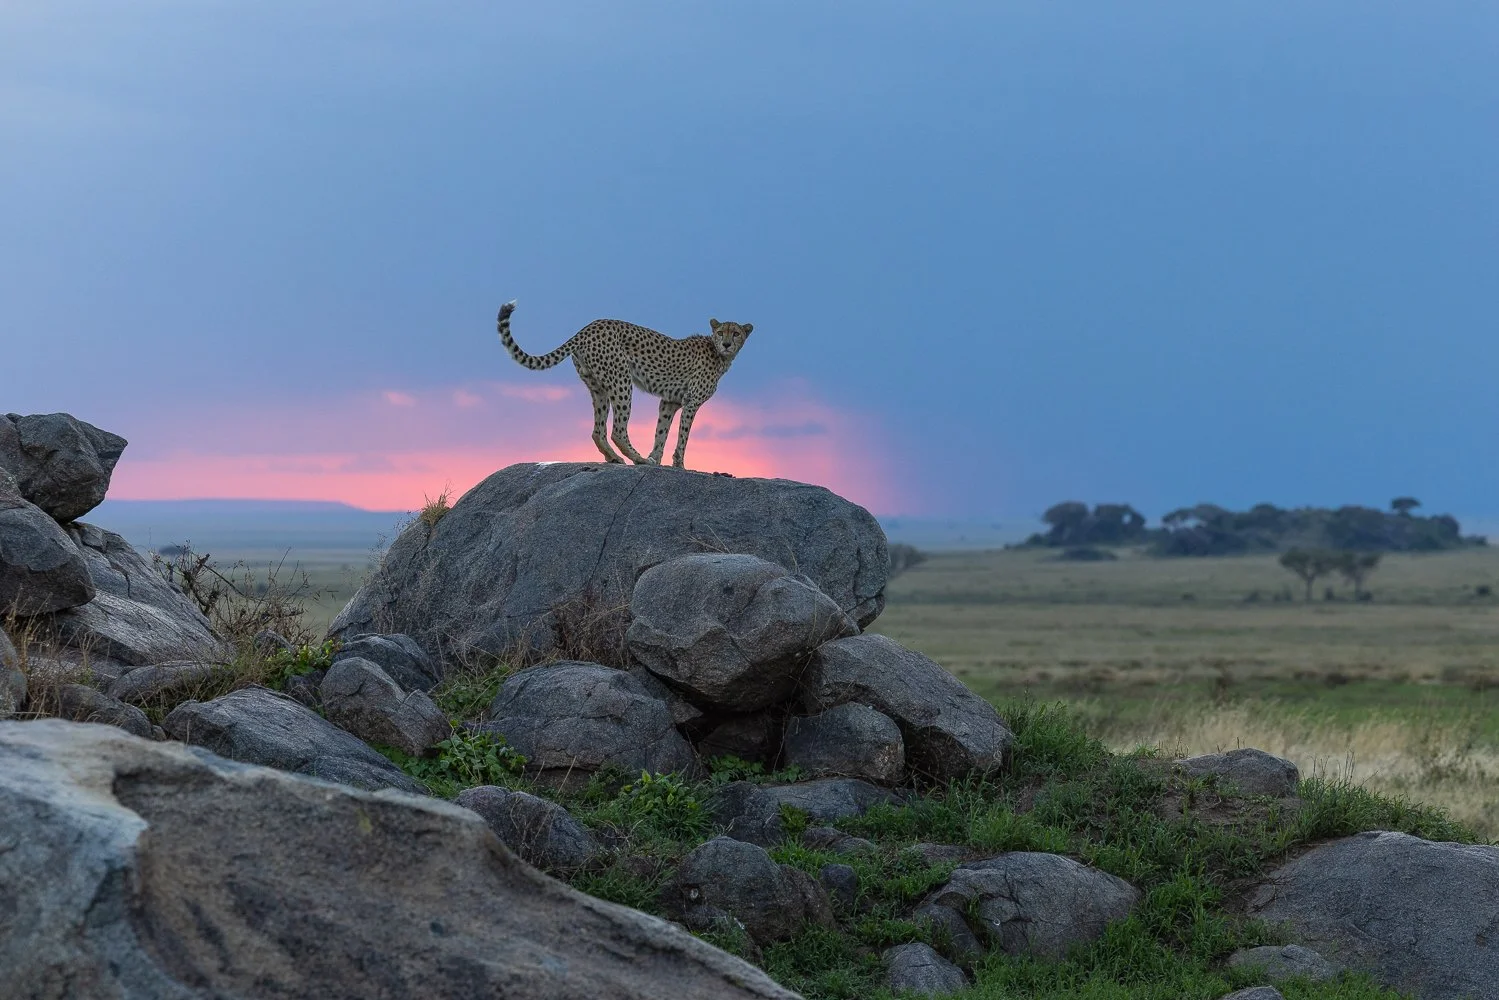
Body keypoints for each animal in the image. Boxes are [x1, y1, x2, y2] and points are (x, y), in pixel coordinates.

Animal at [496, 299, 753, 468]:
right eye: (720, 333)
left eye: (736, 333)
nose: (727, 344)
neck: (719, 354)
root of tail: (588, 327)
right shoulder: (691, 402)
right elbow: (683, 435)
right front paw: (678, 464)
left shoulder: (669, 402)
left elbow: (661, 432)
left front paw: (657, 459)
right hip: (622, 381)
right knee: (618, 430)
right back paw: (637, 458)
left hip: (598, 387)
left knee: (598, 430)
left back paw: (616, 458)